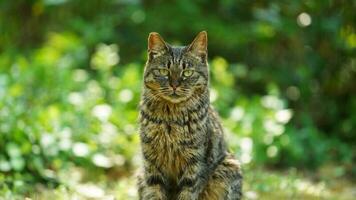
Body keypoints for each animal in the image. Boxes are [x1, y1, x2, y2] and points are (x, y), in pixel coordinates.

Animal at [137, 31, 242, 200]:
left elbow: (187, 193)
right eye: (164, 71)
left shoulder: (194, 166)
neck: (171, 120)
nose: (174, 85)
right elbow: (154, 192)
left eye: (187, 72)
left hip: (230, 168)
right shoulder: (151, 164)